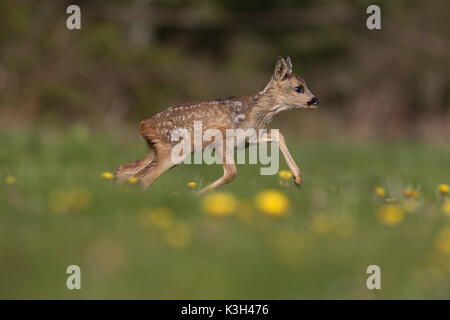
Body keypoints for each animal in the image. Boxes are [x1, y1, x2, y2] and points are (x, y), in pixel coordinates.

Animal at [116, 56, 320, 194]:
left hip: (155, 149)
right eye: (298, 88)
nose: (316, 100)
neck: (253, 111)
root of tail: (144, 123)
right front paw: (197, 195)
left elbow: (278, 134)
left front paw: (298, 179)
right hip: (175, 148)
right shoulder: (221, 139)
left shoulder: (248, 138)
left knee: (125, 169)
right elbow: (231, 173)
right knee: (142, 177)